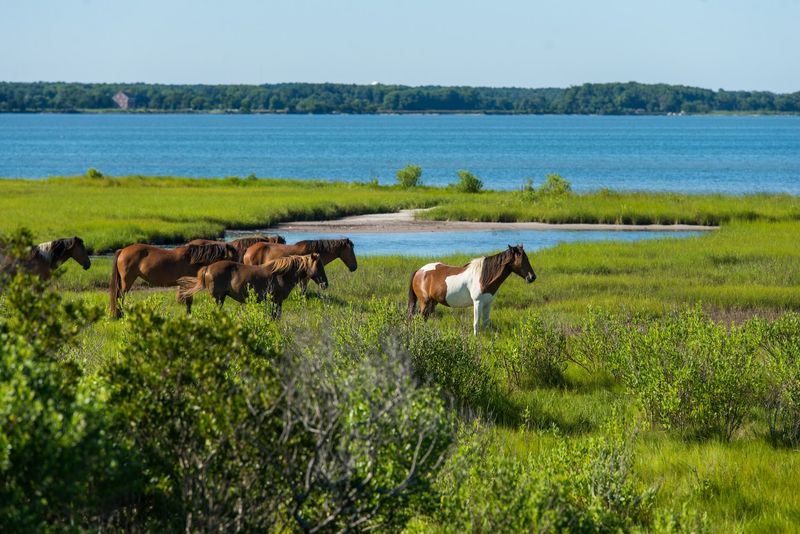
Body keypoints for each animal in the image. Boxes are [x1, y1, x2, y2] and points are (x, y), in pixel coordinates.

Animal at [109, 242, 237, 318]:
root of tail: (122, 250)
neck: (192, 259)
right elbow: (189, 301)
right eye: (233, 259)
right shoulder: (187, 285)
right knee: (120, 297)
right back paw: (119, 315)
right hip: (127, 281)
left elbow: (188, 302)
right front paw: (189, 316)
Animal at [175, 254, 328, 319]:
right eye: (318, 266)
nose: (325, 284)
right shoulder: (276, 300)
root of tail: (207, 268)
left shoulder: (276, 301)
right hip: (217, 298)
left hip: (221, 298)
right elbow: (276, 316)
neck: (281, 274)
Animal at [407, 244, 536, 335]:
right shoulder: (477, 302)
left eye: (527, 258)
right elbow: (476, 323)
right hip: (425, 301)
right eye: (522, 259)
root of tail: (419, 271)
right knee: (419, 318)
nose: (532, 277)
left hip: (433, 302)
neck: (483, 277)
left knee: (424, 318)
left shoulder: (488, 303)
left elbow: (485, 322)